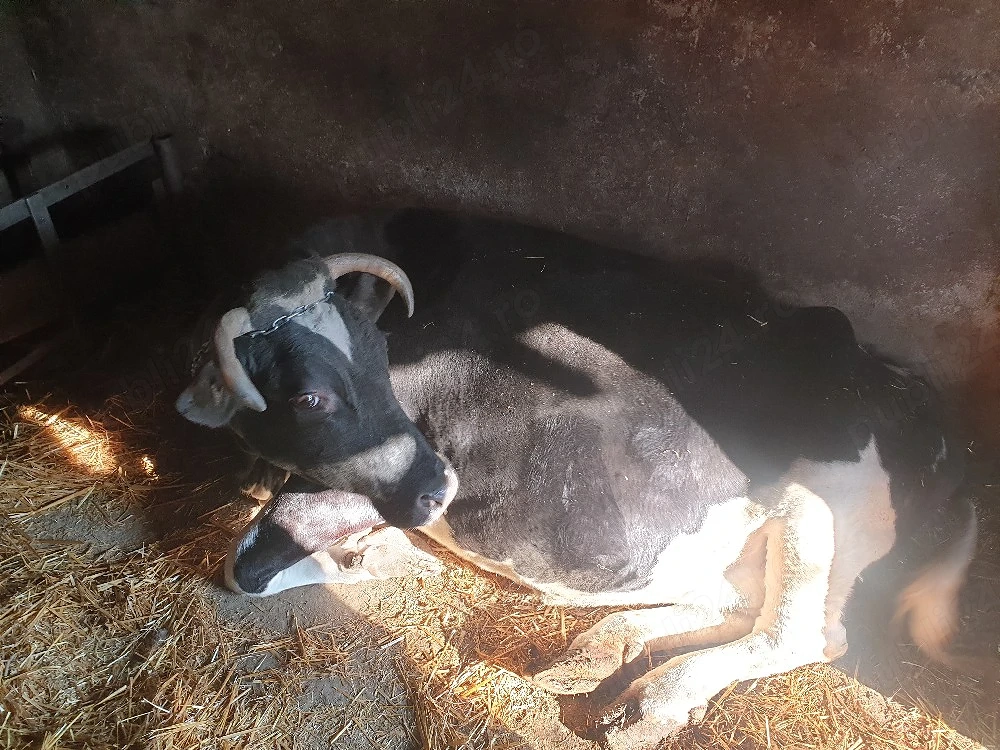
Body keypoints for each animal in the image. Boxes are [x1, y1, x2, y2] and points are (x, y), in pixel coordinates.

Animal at [176, 209, 977, 747]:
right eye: (308, 394)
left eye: (378, 348)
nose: (440, 488)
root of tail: (920, 398)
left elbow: (244, 566)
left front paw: (377, 555)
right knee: (732, 600)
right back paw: (603, 651)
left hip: (832, 507)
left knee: (801, 634)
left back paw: (654, 701)